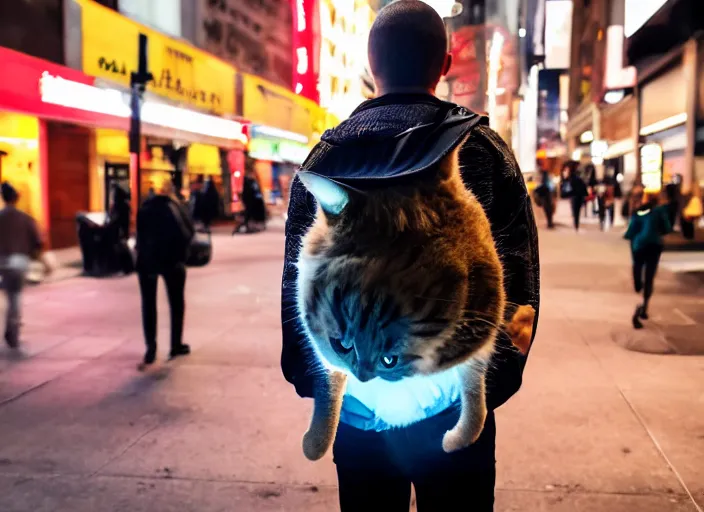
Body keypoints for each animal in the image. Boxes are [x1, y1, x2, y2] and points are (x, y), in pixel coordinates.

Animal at [296, 143, 506, 460]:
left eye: (389, 360)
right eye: (342, 345)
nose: (363, 377)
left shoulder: (481, 337)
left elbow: (473, 392)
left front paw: (457, 438)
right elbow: (327, 381)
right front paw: (317, 441)